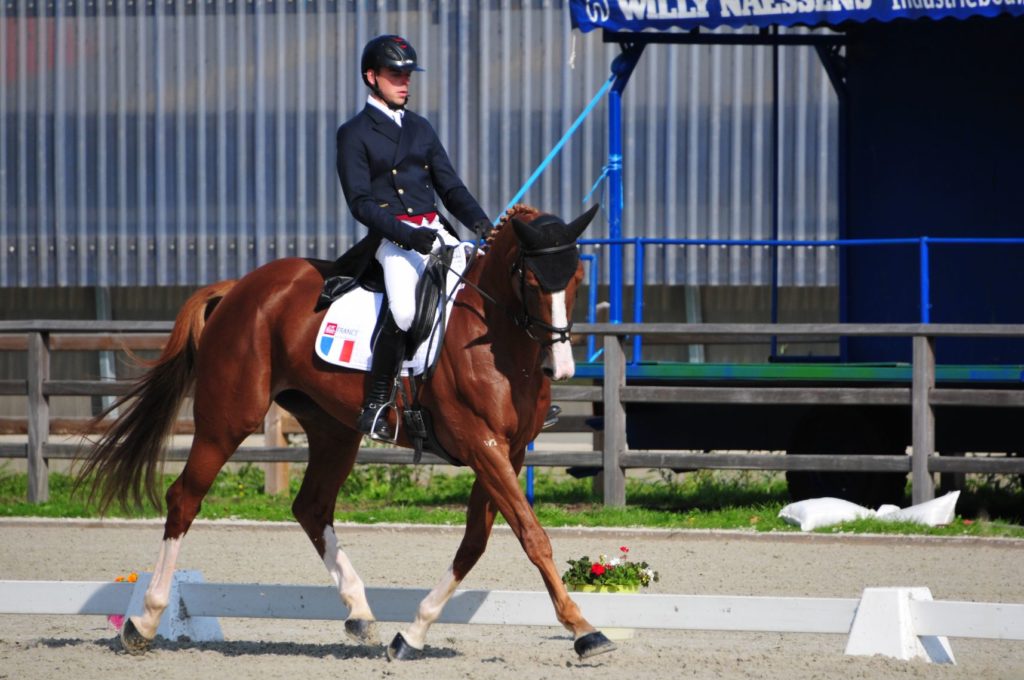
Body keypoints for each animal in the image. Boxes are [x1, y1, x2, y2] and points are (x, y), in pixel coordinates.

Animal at [75, 201, 614, 659]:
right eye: (531, 280)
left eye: (577, 277)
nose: (561, 366)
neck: (497, 341)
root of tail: (240, 286)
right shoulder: (483, 446)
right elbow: (532, 535)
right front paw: (585, 630)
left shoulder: (509, 451)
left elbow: (476, 542)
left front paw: (413, 633)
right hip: (227, 419)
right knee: (185, 497)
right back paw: (144, 622)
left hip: (333, 430)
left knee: (311, 507)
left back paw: (360, 612)